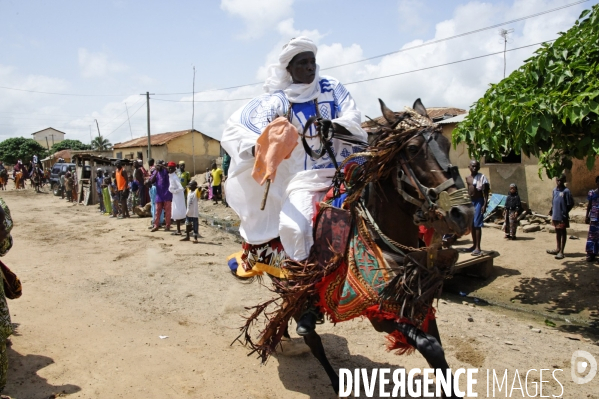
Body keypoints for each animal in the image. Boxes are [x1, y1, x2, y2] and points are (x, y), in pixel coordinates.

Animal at [233, 98, 474, 398]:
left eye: (446, 144)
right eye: (413, 149)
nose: (462, 214)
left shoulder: (419, 302)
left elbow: (438, 352)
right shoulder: (379, 312)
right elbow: (428, 345)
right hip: (292, 283)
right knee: (311, 337)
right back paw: (333, 377)